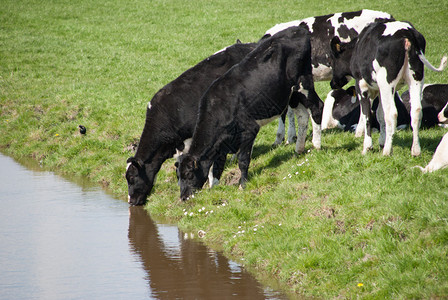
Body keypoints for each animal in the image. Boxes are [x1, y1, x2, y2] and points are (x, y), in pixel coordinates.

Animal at [177, 25, 324, 199]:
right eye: (178, 176)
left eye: (189, 174)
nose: (183, 197)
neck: (220, 109)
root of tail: (296, 29)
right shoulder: (222, 143)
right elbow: (218, 166)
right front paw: (215, 189)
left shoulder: (249, 130)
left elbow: (243, 160)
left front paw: (242, 185)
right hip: (292, 93)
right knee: (302, 116)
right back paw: (298, 150)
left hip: (303, 81)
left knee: (317, 107)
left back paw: (316, 144)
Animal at [328, 20, 448, 157]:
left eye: (331, 61)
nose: (332, 83)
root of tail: (406, 32)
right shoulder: (380, 90)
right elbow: (380, 115)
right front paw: (381, 142)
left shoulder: (362, 86)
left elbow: (367, 115)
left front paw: (368, 147)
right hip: (416, 79)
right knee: (416, 111)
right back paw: (415, 150)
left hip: (387, 83)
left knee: (391, 113)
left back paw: (387, 151)